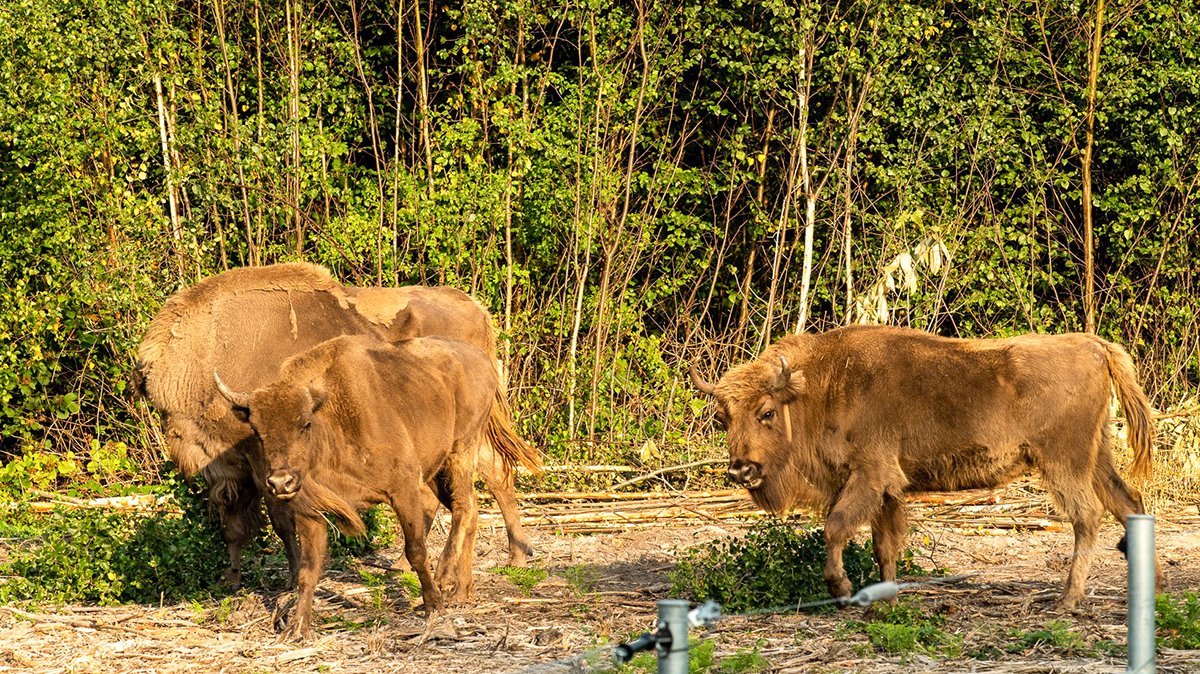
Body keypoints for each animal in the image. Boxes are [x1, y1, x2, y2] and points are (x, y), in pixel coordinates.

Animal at [692, 325, 1160, 609]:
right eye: (723, 417)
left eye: (767, 412)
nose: (741, 471)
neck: (822, 385)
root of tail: (1095, 345)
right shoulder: (886, 490)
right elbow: (883, 545)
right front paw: (886, 600)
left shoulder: (870, 475)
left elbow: (836, 527)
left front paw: (842, 591)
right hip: (1097, 457)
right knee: (1129, 502)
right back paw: (1149, 584)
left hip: (1064, 462)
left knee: (1088, 516)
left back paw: (1067, 600)